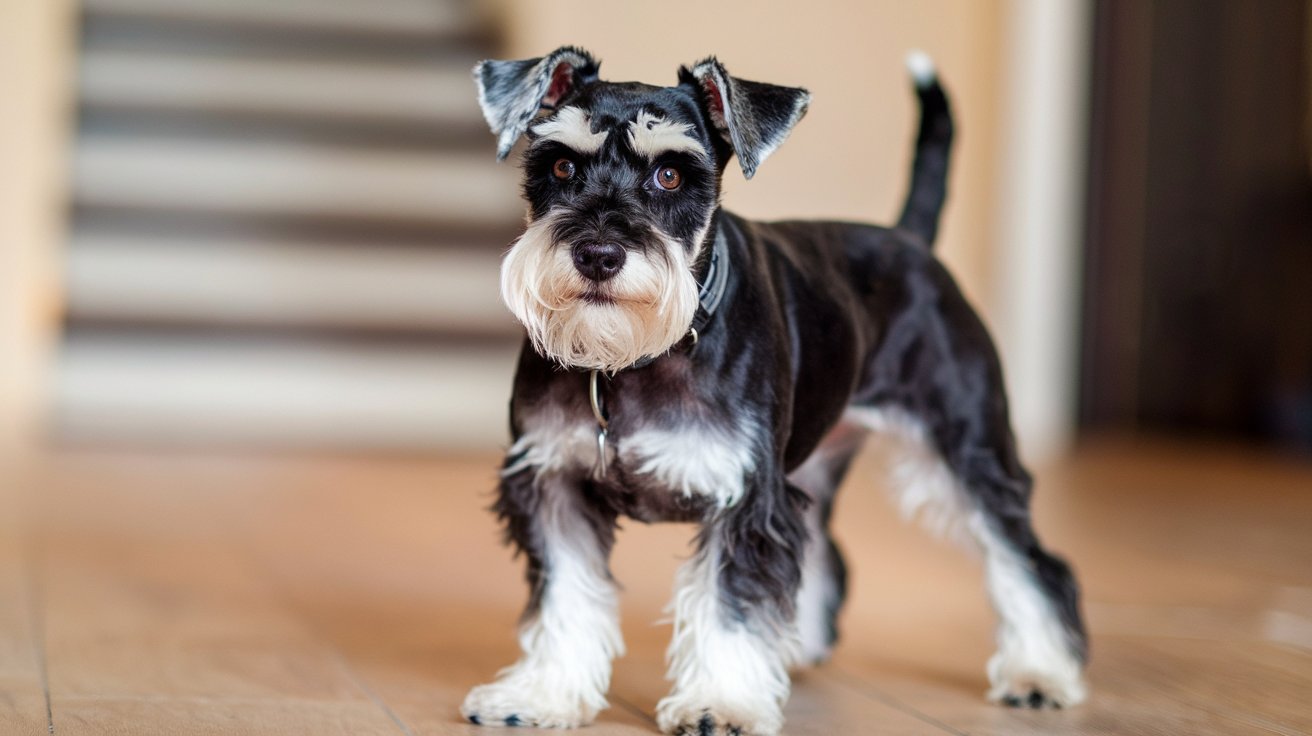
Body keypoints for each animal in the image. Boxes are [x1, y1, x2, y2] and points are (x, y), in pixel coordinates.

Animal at [459, 47, 1086, 734]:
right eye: (562, 165)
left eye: (670, 176)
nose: (599, 254)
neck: (634, 361)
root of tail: (910, 241)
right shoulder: (554, 484)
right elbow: (565, 597)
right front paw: (541, 694)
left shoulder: (746, 497)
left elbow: (730, 603)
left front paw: (719, 702)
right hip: (810, 464)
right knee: (823, 552)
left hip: (968, 451)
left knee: (1027, 558)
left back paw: (1040, 672)